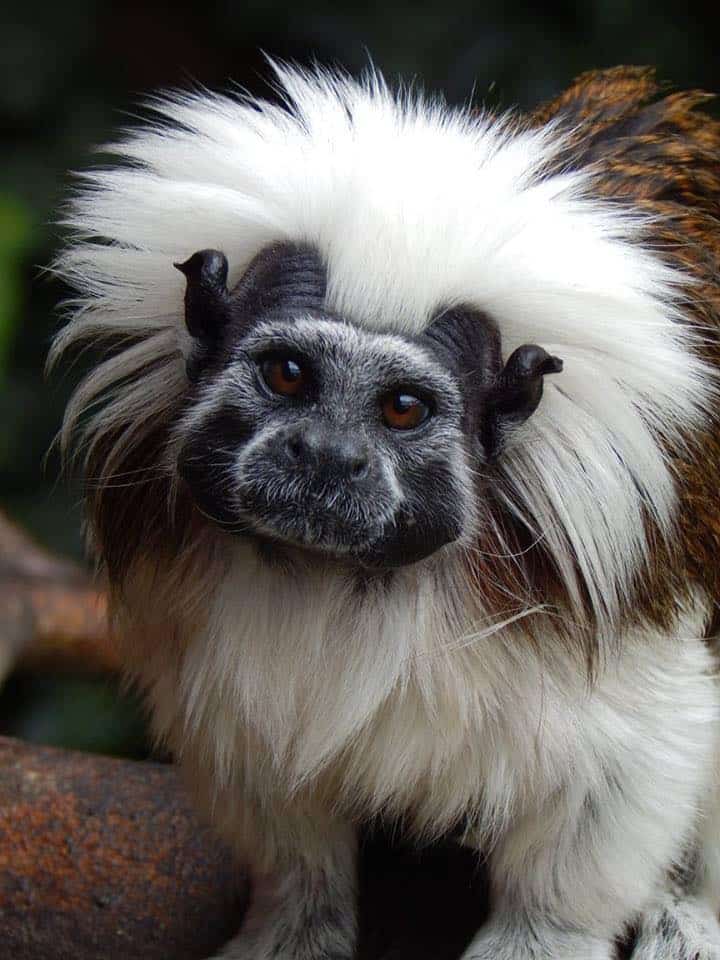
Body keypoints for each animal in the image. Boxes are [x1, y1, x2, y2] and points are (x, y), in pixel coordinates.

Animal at [51, 62, 720, 959]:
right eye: (288, 375)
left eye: (403, 408)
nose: (329, 455)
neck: (346, 580)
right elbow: (272, 784)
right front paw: (296, 921)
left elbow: (622, 779)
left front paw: (548, 933)